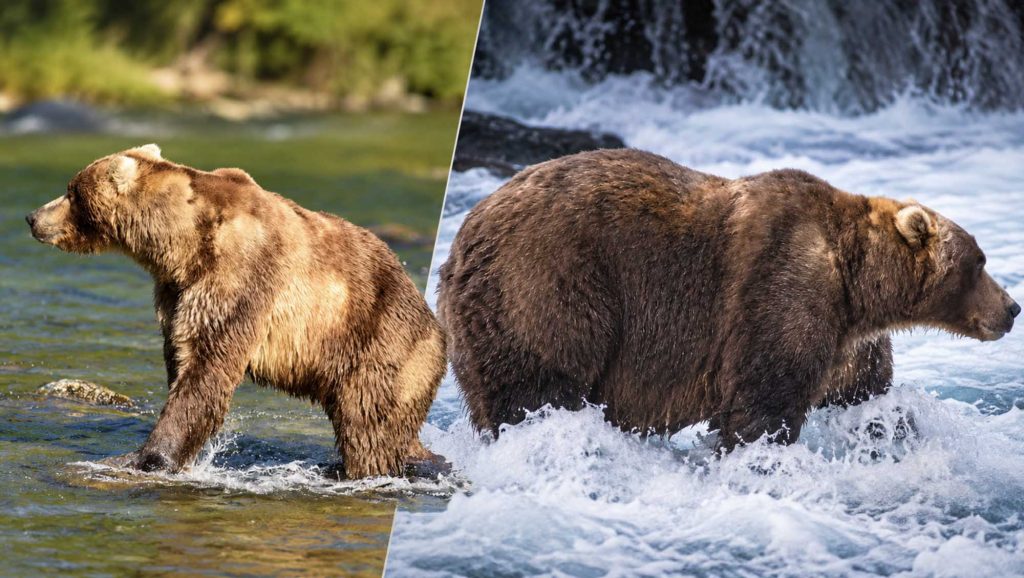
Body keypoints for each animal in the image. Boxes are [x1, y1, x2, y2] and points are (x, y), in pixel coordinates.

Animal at [26, 145, 446, 478]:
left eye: (70, 192)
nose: (32, 217)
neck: (179, 245)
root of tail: (437, 328)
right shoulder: (176, 291)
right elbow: (183, 355)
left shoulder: (239, 275)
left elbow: (208, 366)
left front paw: (144, 457)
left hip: (378, 341)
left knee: (368, 421)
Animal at [438, 148, 1019, 449]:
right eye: (980, 260)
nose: (1012, 308)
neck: (857, 284)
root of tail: (460, 246)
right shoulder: (783, 284)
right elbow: (764, 398)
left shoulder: (846, 337)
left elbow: (862, 394)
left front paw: (891, 432)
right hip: (547, 283)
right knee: (538, 386)